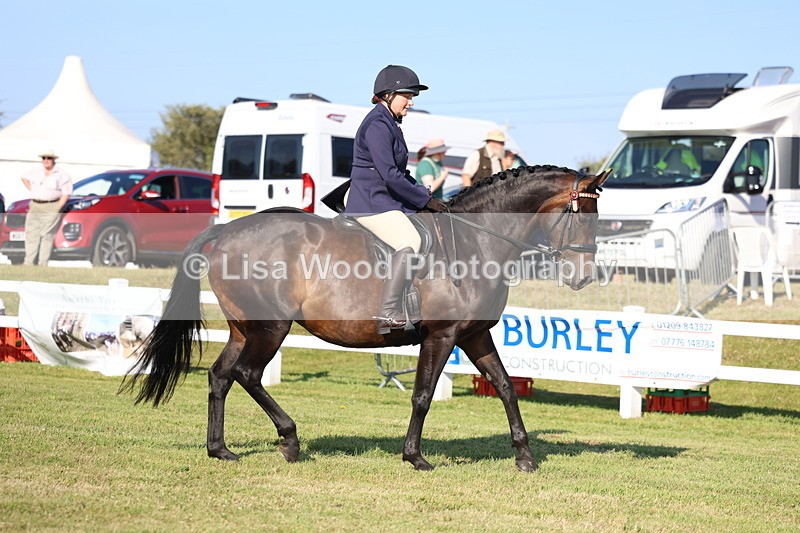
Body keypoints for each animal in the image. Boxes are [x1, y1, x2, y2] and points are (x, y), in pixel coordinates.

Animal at [122, 165, 610, 472]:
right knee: (247, 374)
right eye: (582, 215)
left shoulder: (474, 335)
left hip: (245, 328)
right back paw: (290, 440)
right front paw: (415, 457)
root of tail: (226, 230)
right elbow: (422, 396)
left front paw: (524, 457)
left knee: (221, 376)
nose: (584, 276)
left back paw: (220, 450)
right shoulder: (442, 335)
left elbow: (506, 387)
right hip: (271, 328)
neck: (477, 241)